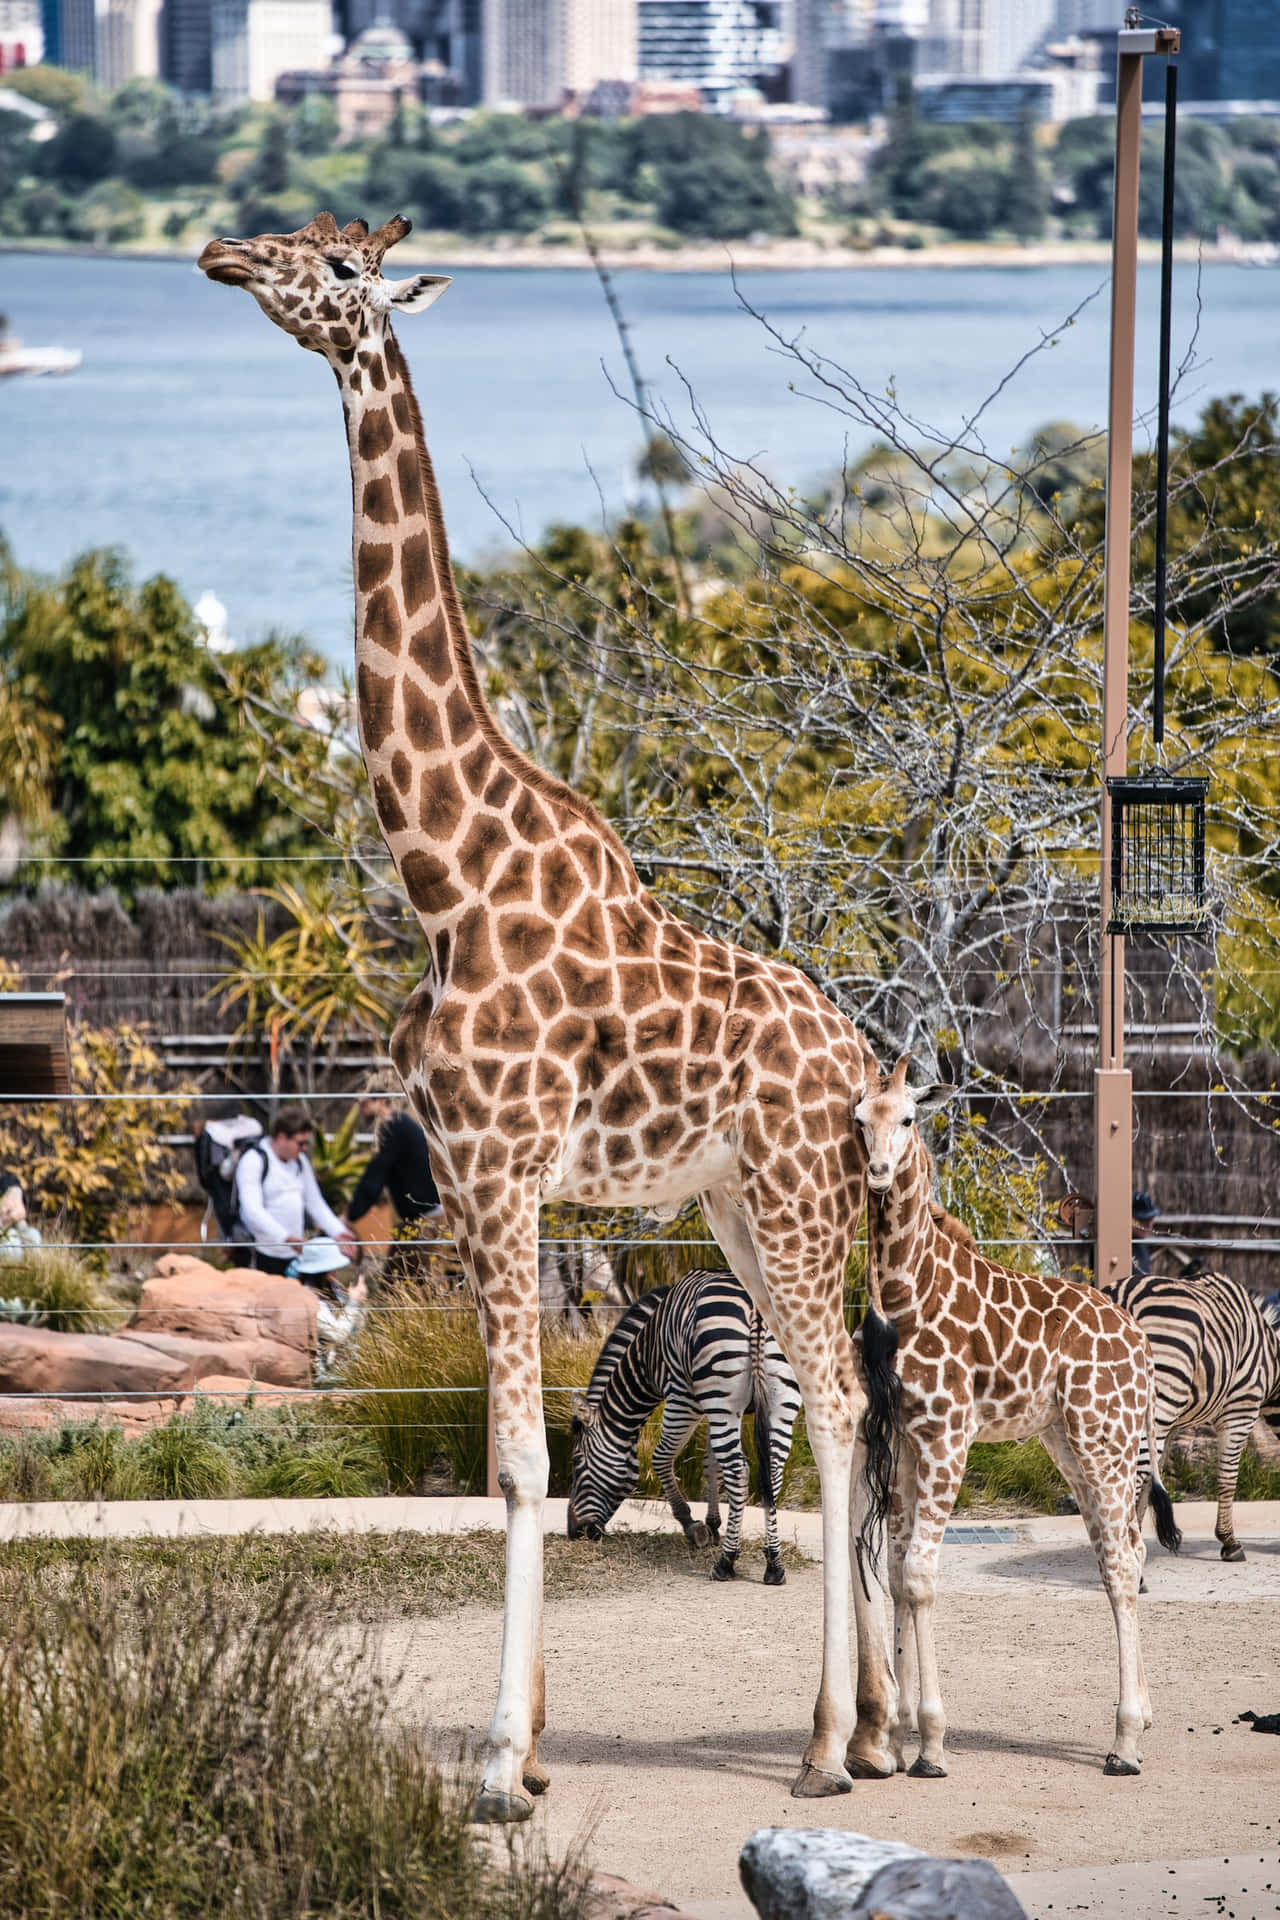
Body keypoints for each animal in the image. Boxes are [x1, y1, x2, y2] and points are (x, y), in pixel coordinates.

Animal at [568, 1267, 802, 1582]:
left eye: (577, 1462)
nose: (575, 1532)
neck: (648, 1351)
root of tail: (755, 1310)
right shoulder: (716, 1408)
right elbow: (711, 1463)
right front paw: (714, 1525)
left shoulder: (683, 1395)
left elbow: (661, 1458)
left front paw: (692, 1526)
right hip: (777, 1399)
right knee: (772, 1472)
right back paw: (774, 1563)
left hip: (717, 1395)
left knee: (738, 1471)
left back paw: (726, 1562)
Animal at [852, 1059, 1182, 1774]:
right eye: (859, 1119)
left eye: (909, 1118)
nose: (879, 1173)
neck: (903, 1293)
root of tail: (1140, 1346)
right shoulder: (906, 1441)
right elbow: (896, 1574)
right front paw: (896, 1736)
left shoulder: (948, 1436)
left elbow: (920, 1576)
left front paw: (932, 1741)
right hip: (1071, 1441)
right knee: (1126, 1548)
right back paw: (1143, 1715)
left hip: (1103, 1436)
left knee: (1121, 1563)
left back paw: (1124, 1743)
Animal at [1105, 1274, 1280, 1559]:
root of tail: (1125, 1297)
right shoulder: (1241, 1409)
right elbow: (1228, 1477)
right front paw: (1229, 1542)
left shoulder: (1174, 1424)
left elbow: (1153, 1475)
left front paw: (1138, 1531)